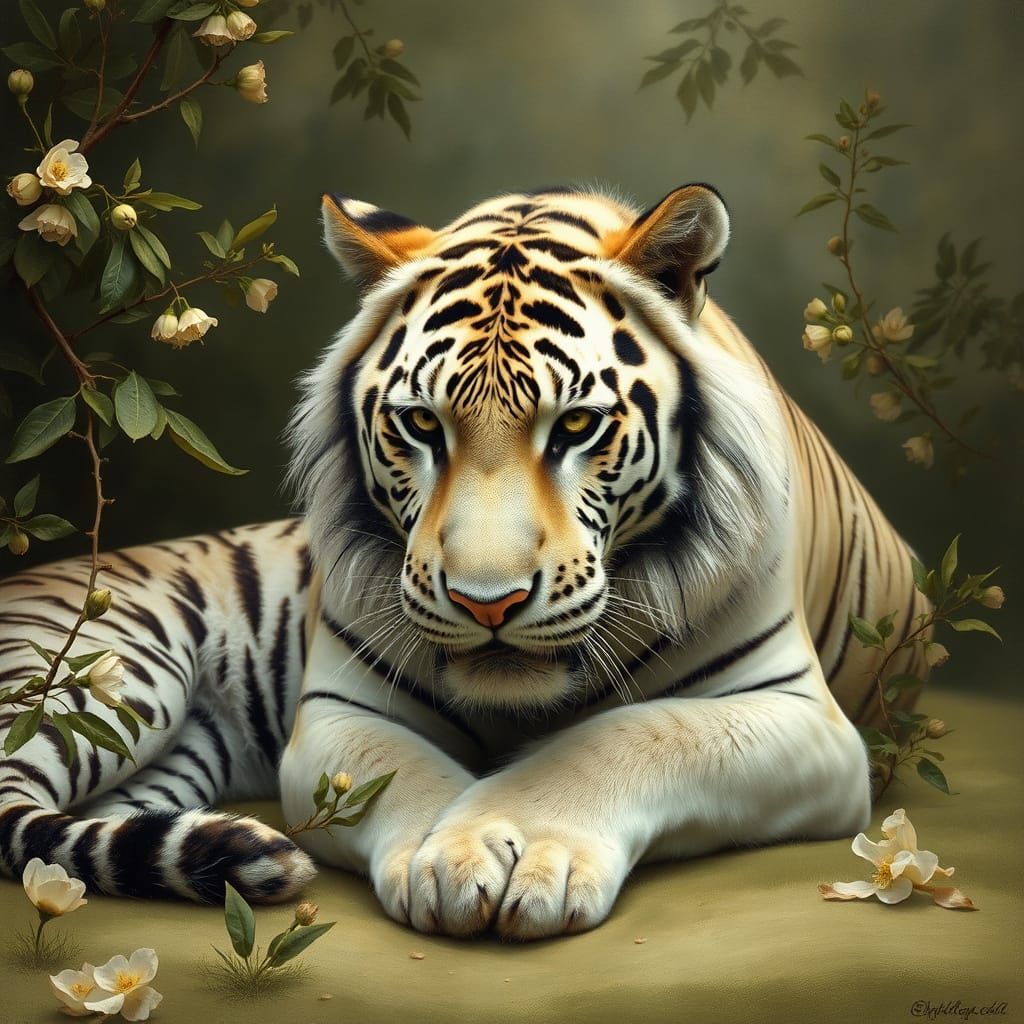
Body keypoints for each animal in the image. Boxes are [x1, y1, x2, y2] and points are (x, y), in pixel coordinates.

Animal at [0, 183, 929, 940]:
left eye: (576, 426)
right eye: (421, 424)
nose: (489, 603)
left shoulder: (803, 718)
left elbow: (632, 735)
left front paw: (534, 856)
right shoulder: (339, 710)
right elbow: (401, 773)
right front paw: (454, 858)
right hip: (114, 674)